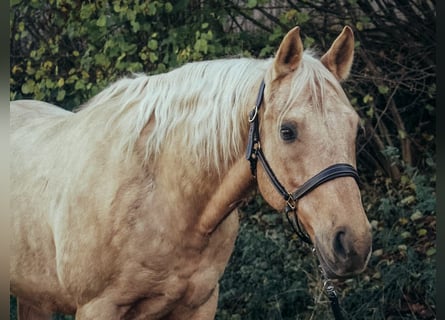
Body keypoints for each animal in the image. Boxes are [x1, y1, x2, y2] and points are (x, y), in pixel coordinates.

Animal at [10, 26, 372, 318]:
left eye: (355, 129)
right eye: (287, 131)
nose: (354, 243)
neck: (165, 200)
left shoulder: (200, 303)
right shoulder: (97, 308)